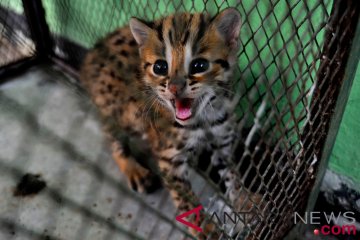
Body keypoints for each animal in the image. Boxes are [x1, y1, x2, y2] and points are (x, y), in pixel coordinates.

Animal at [81, 7, 242, 238]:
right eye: (160, 67)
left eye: (199, 65)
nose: (174, 88)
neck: (203, 119)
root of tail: (93, 52)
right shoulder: (170, 160)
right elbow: (186, 198)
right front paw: (206, 228)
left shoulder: (222, 140)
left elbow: (232, 173)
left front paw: (246, 201)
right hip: (116, 110)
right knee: (112, 137)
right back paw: (134, 169)